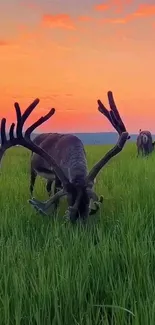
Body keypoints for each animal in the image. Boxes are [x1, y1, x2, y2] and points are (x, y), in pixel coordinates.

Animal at [0, 91, 130, 223]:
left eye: (87, 204)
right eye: (69, 200)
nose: (79, 223)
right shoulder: (58, 178)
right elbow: (56, 198)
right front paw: (54, 215)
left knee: (48, 187)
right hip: (33, 169)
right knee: (32, 186)